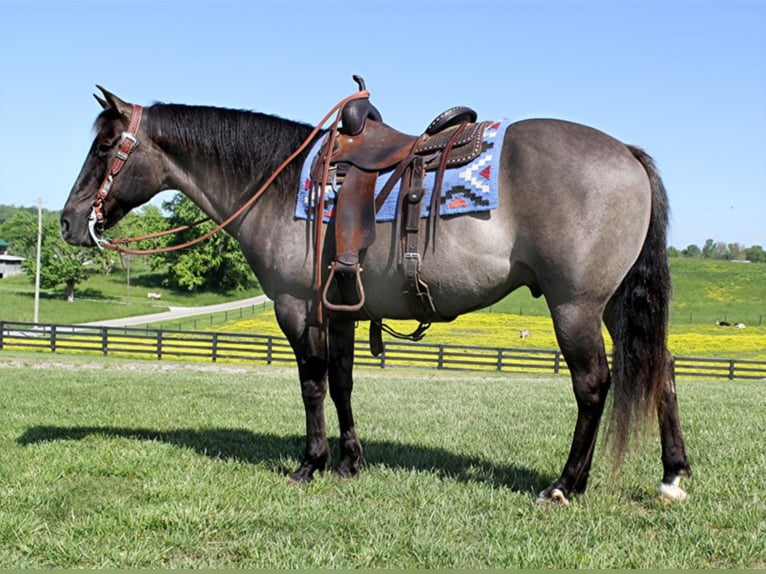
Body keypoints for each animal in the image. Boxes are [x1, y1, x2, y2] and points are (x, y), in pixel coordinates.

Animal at [60, 83, 692, 506]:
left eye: (104, 148)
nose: (69, 222)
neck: (280, 184)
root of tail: (626, 152)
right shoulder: (339, 312)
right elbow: (342, 383)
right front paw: (349, 462)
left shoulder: (297, 309)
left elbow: (312, 385)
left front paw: (310, 464)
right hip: (614, 304)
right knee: (661, 367)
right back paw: (672, 474)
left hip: (575, 307)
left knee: (593, 385)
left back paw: (565, 485)